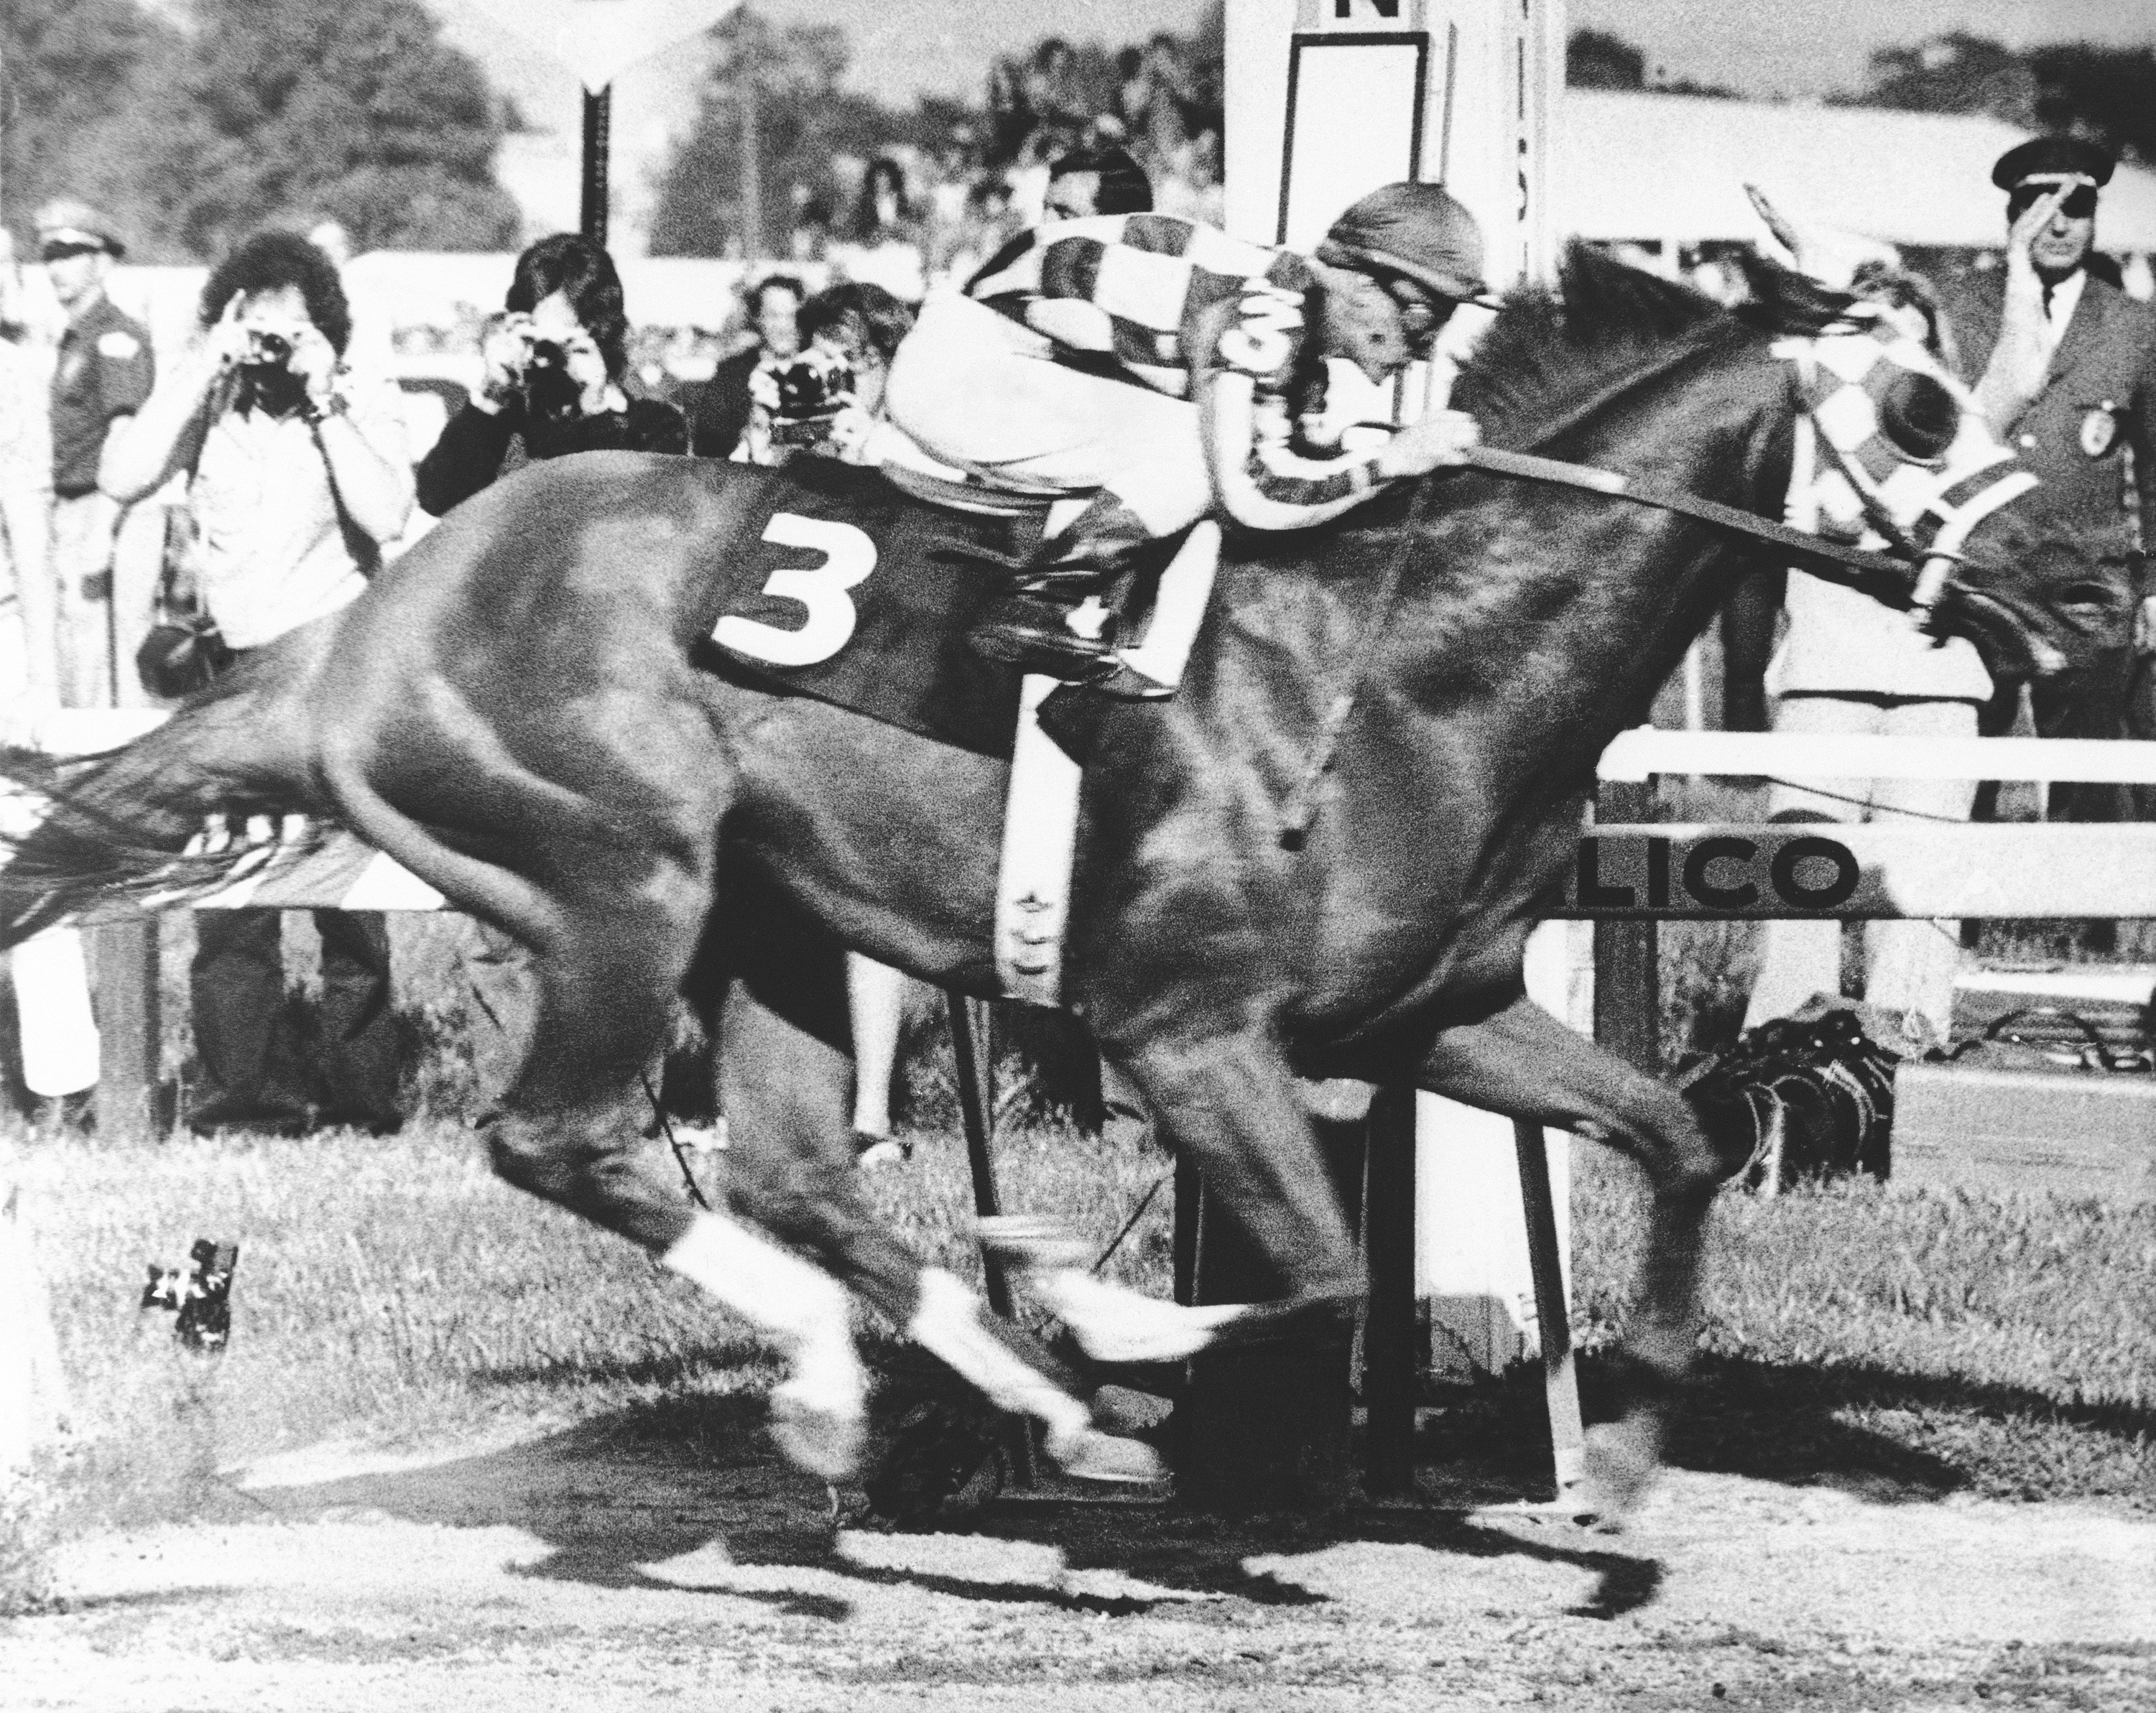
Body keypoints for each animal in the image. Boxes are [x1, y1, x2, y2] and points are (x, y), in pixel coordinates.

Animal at [0, 249, 2126, 1513]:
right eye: (1920, 408)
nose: (2101, 584)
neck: (1411, 659)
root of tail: (363, 623)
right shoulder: (1181, 1029)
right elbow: (1315, 1269)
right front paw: (1113, 1335)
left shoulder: (1441, 1010)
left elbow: (1678, 1138)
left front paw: (1611, 1464)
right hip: (619, 876)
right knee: (571, 1141)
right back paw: (929, 1384)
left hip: (768, 920)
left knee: (787, 1173)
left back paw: (932, 1394)